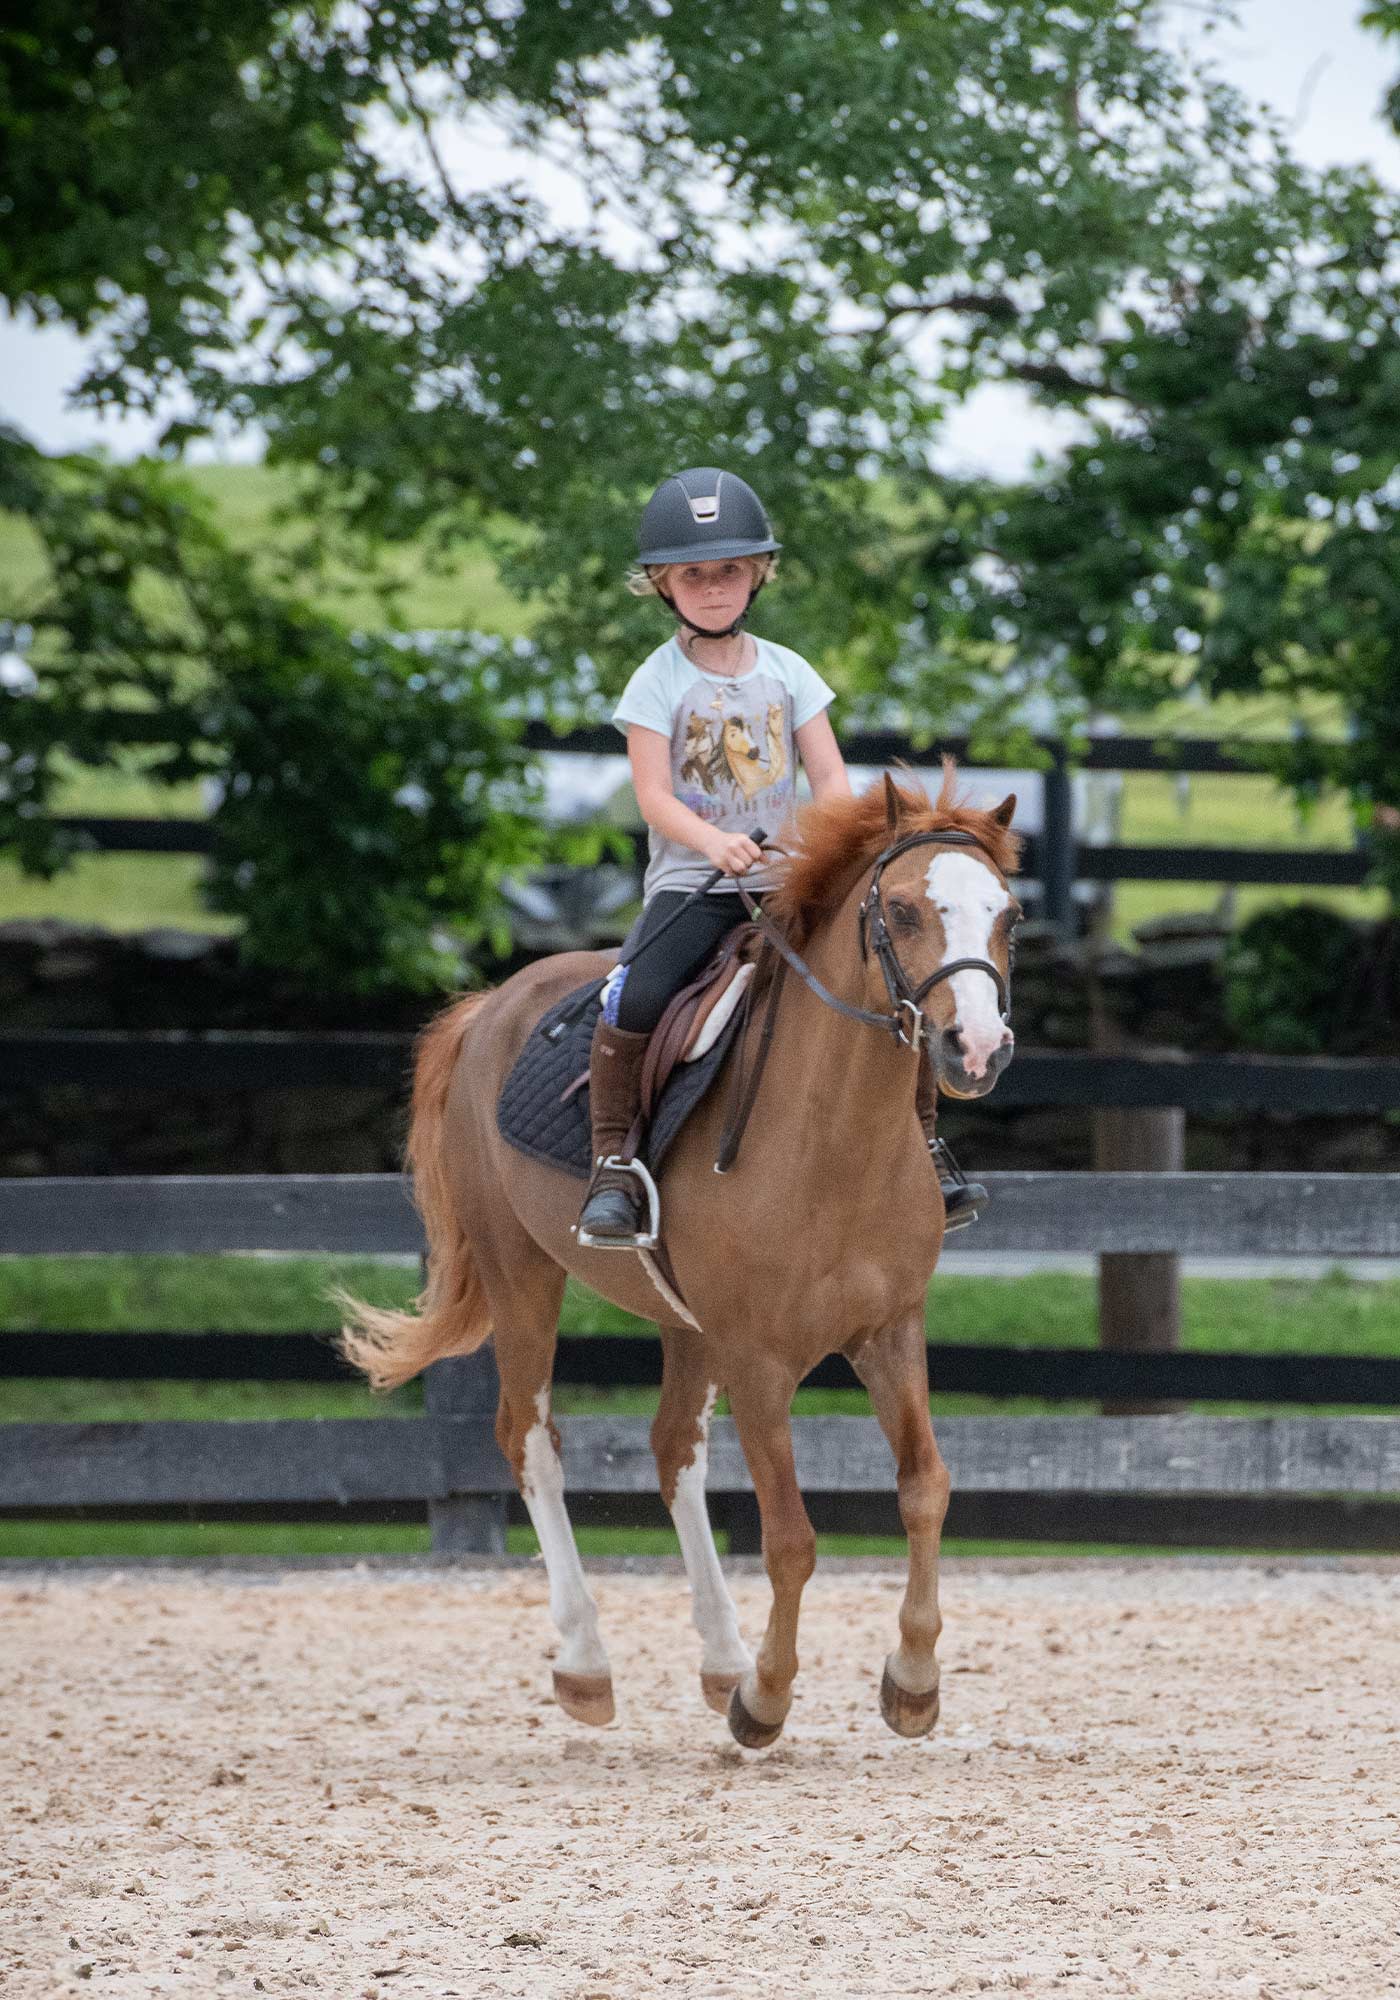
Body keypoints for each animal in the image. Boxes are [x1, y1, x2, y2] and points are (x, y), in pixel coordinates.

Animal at [339, 766, 1021, 1748]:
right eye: (898, 911)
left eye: (1009, 916)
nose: (976, 1048)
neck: (834, 1142)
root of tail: (490, 1005)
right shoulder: (759, 1360)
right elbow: (790, 1538)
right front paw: (766, 1698)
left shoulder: (890, 1332)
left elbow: (926, 1487)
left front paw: (913, 1681)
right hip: (523, 1277)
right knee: (530, 1440)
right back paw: (588, 1664)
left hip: (685, 1322)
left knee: (672, 1450)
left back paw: (720, 1655)